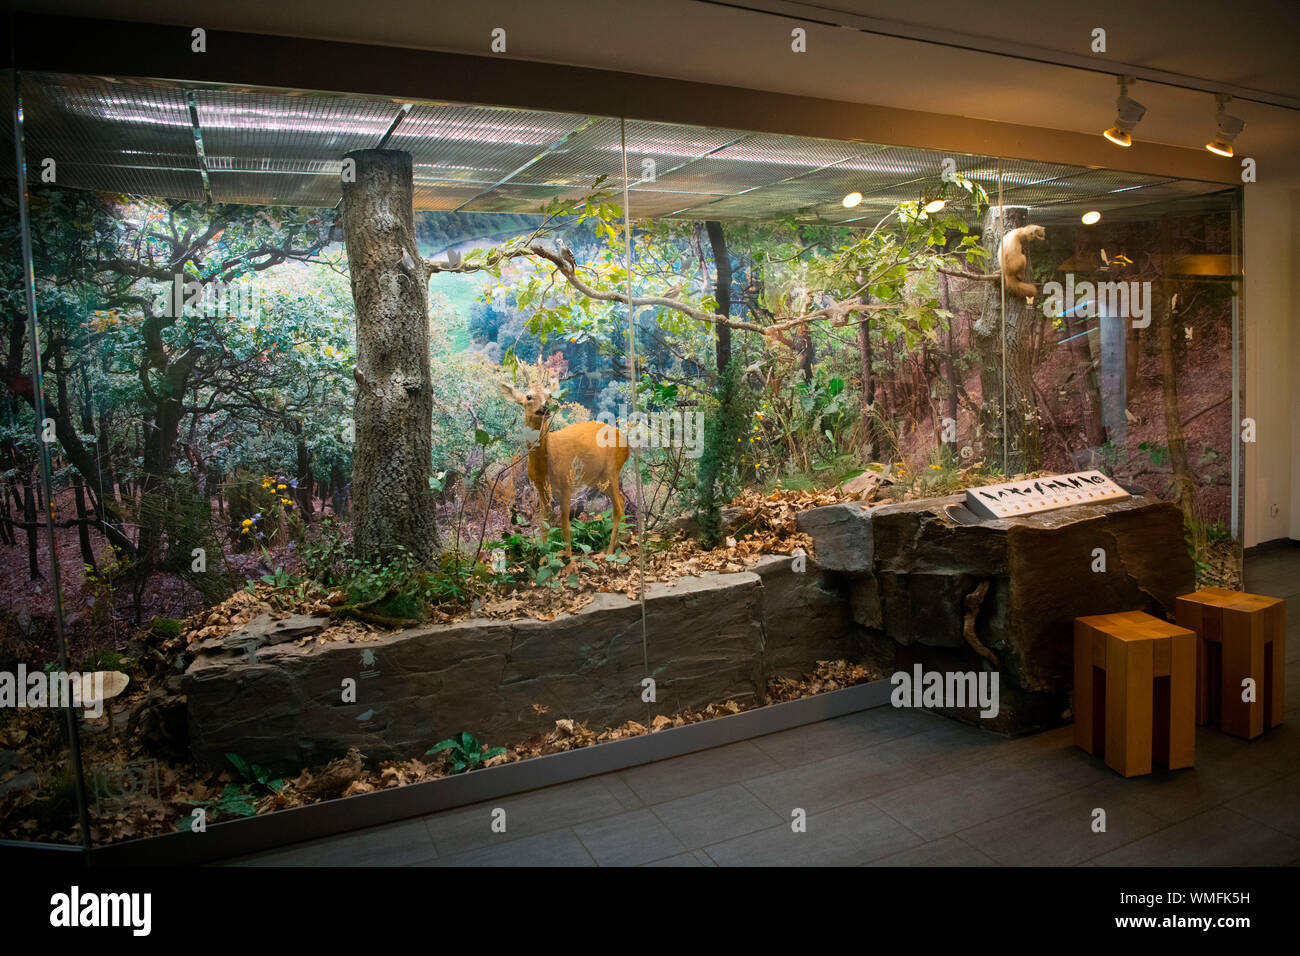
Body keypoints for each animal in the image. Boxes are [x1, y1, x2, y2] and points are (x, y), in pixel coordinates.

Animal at [496, 369, 629, 561]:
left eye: (549, 395)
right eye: (528, 396)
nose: (545, 407)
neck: (546, 463)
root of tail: (627, 445)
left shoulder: (566, 483)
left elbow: (565, 524)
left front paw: (569, 561)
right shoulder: (540, 486)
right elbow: (545, 519)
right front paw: (544, 557)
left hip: (611, 469)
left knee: (617, 507)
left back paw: (610, 551)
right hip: (599, 478)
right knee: (621, 499)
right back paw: (624, 539)